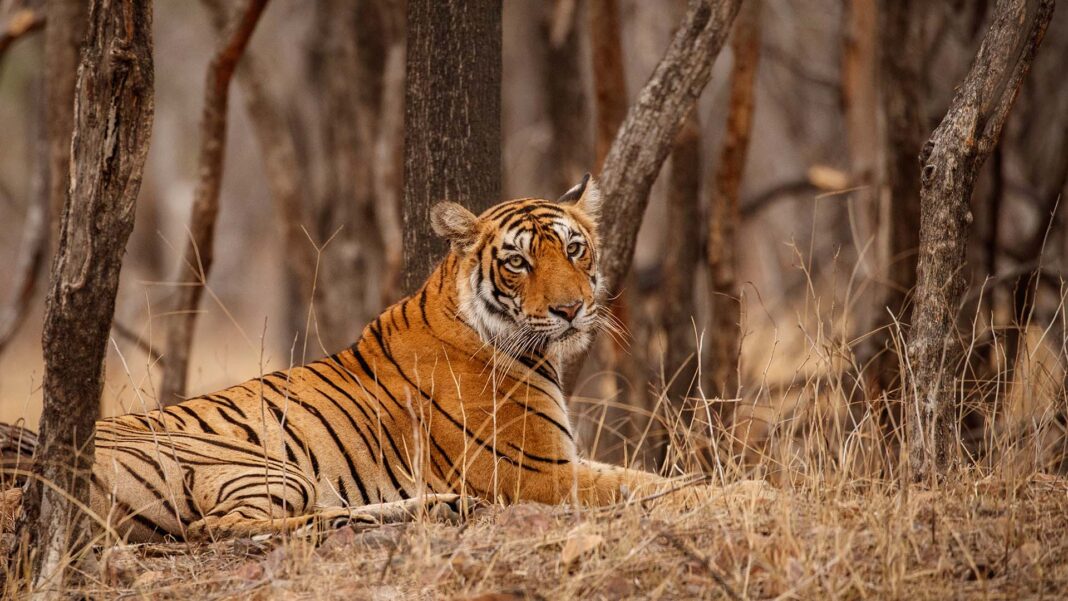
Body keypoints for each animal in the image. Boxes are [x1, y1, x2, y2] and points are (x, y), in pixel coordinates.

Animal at [0, 175, 676, 543]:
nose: (571, 309)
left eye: (575, 249)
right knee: (222, 528)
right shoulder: (536, 473)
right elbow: (655, 486)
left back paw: (433, 508)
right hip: (259, 465)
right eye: (517, 262)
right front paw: (704, 496)